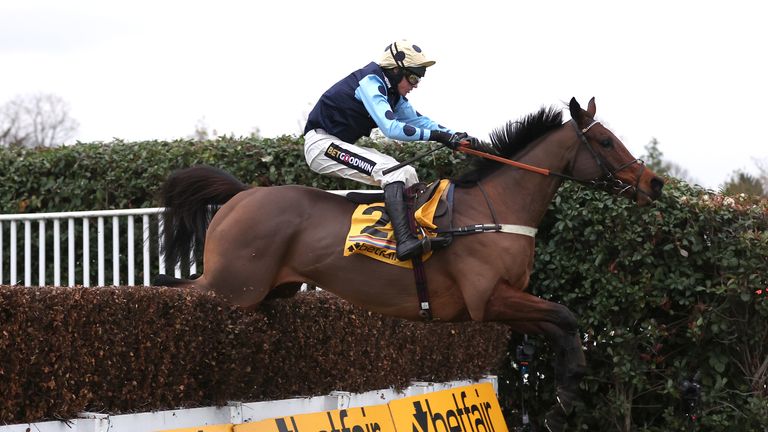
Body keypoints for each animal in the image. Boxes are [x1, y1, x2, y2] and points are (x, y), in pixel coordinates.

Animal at [154, 98, 660, 432]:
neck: (494, 210)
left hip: (265, 292)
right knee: (170, 293)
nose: (653, 184)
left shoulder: (505, 302)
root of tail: (242, 194)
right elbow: (566, 316)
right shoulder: (488, 299)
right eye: (605, 141)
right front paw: (566, 395)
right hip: (232, 285)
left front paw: (562, 396)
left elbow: (561, 326)